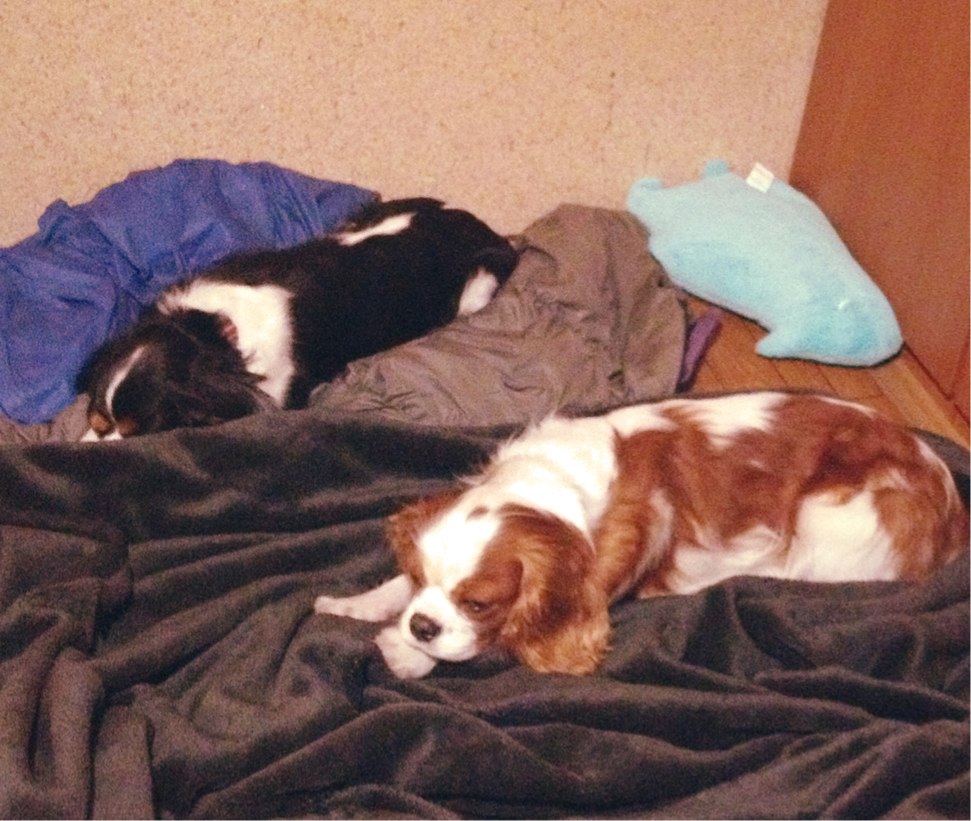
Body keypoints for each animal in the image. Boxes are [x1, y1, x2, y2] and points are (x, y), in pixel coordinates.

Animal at [313, 391, 968, 678]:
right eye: (421, 577)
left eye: (479, 604)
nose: (424, 624)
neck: (555, 486)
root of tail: (947, 495)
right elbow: (390, 590)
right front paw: (358, 604)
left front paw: (403, 652)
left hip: (827, 530)